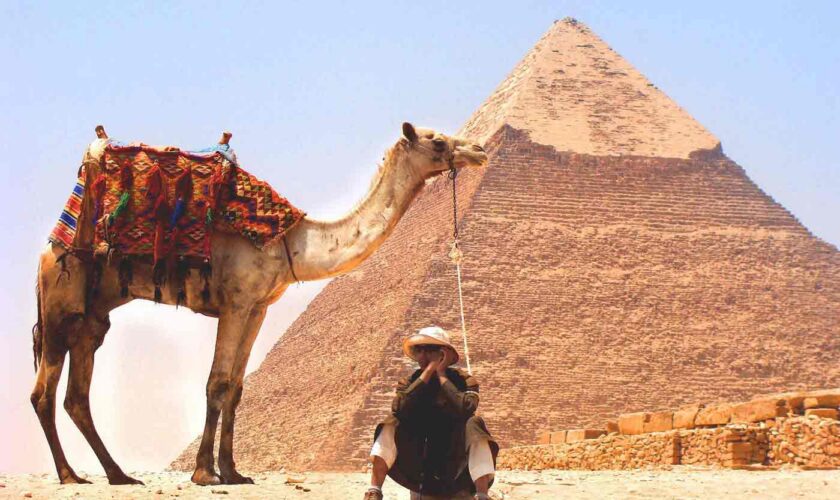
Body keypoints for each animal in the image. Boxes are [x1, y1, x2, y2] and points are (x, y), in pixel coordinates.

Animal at [30, 123, 487, 486]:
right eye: (437, 141)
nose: (479, 150)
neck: (291, 242)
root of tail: (49, 247)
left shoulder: (258, 308)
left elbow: (236, 387)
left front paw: (233, 471)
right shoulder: (235, 302)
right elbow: (216, 383)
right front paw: (205, 474)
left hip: (91, 320)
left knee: (76, 396)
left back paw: (119, 475)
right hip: (59, 305)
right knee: (43, 393)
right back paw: (70, 476)